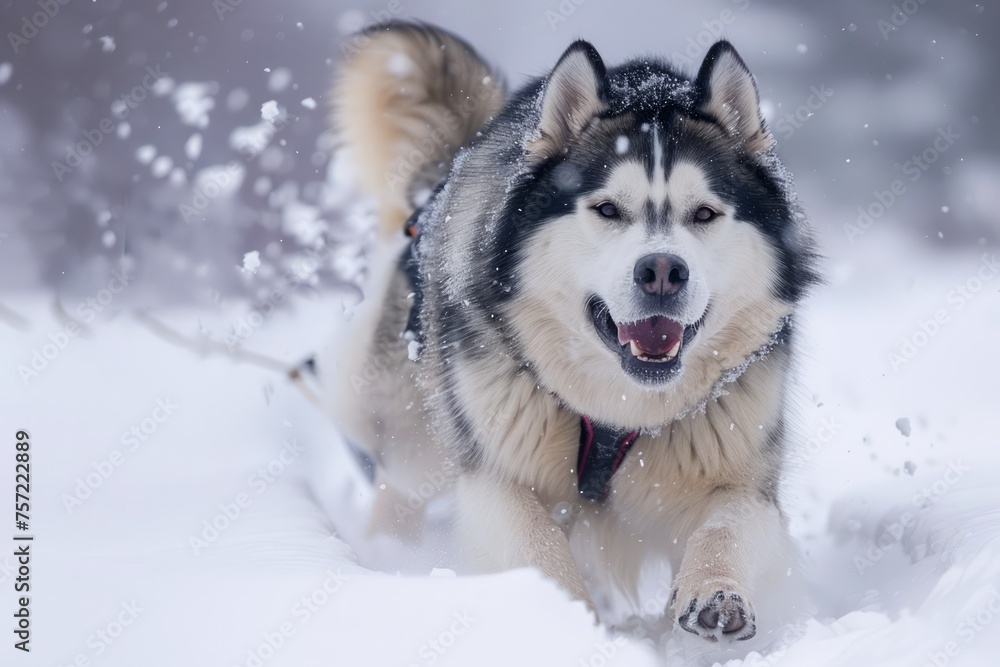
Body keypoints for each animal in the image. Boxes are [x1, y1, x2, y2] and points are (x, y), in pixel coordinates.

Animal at [328, 23, 812, 640]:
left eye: (704, 214)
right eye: (607, 209)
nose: (662, 270)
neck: (619, 411)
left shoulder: (738, 464)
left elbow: (727, 524)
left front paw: (716, 592)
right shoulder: (496, 472)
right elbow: (538, 547)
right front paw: (566, 621)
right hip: (417, 433)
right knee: (399, 483)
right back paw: (390, 560)